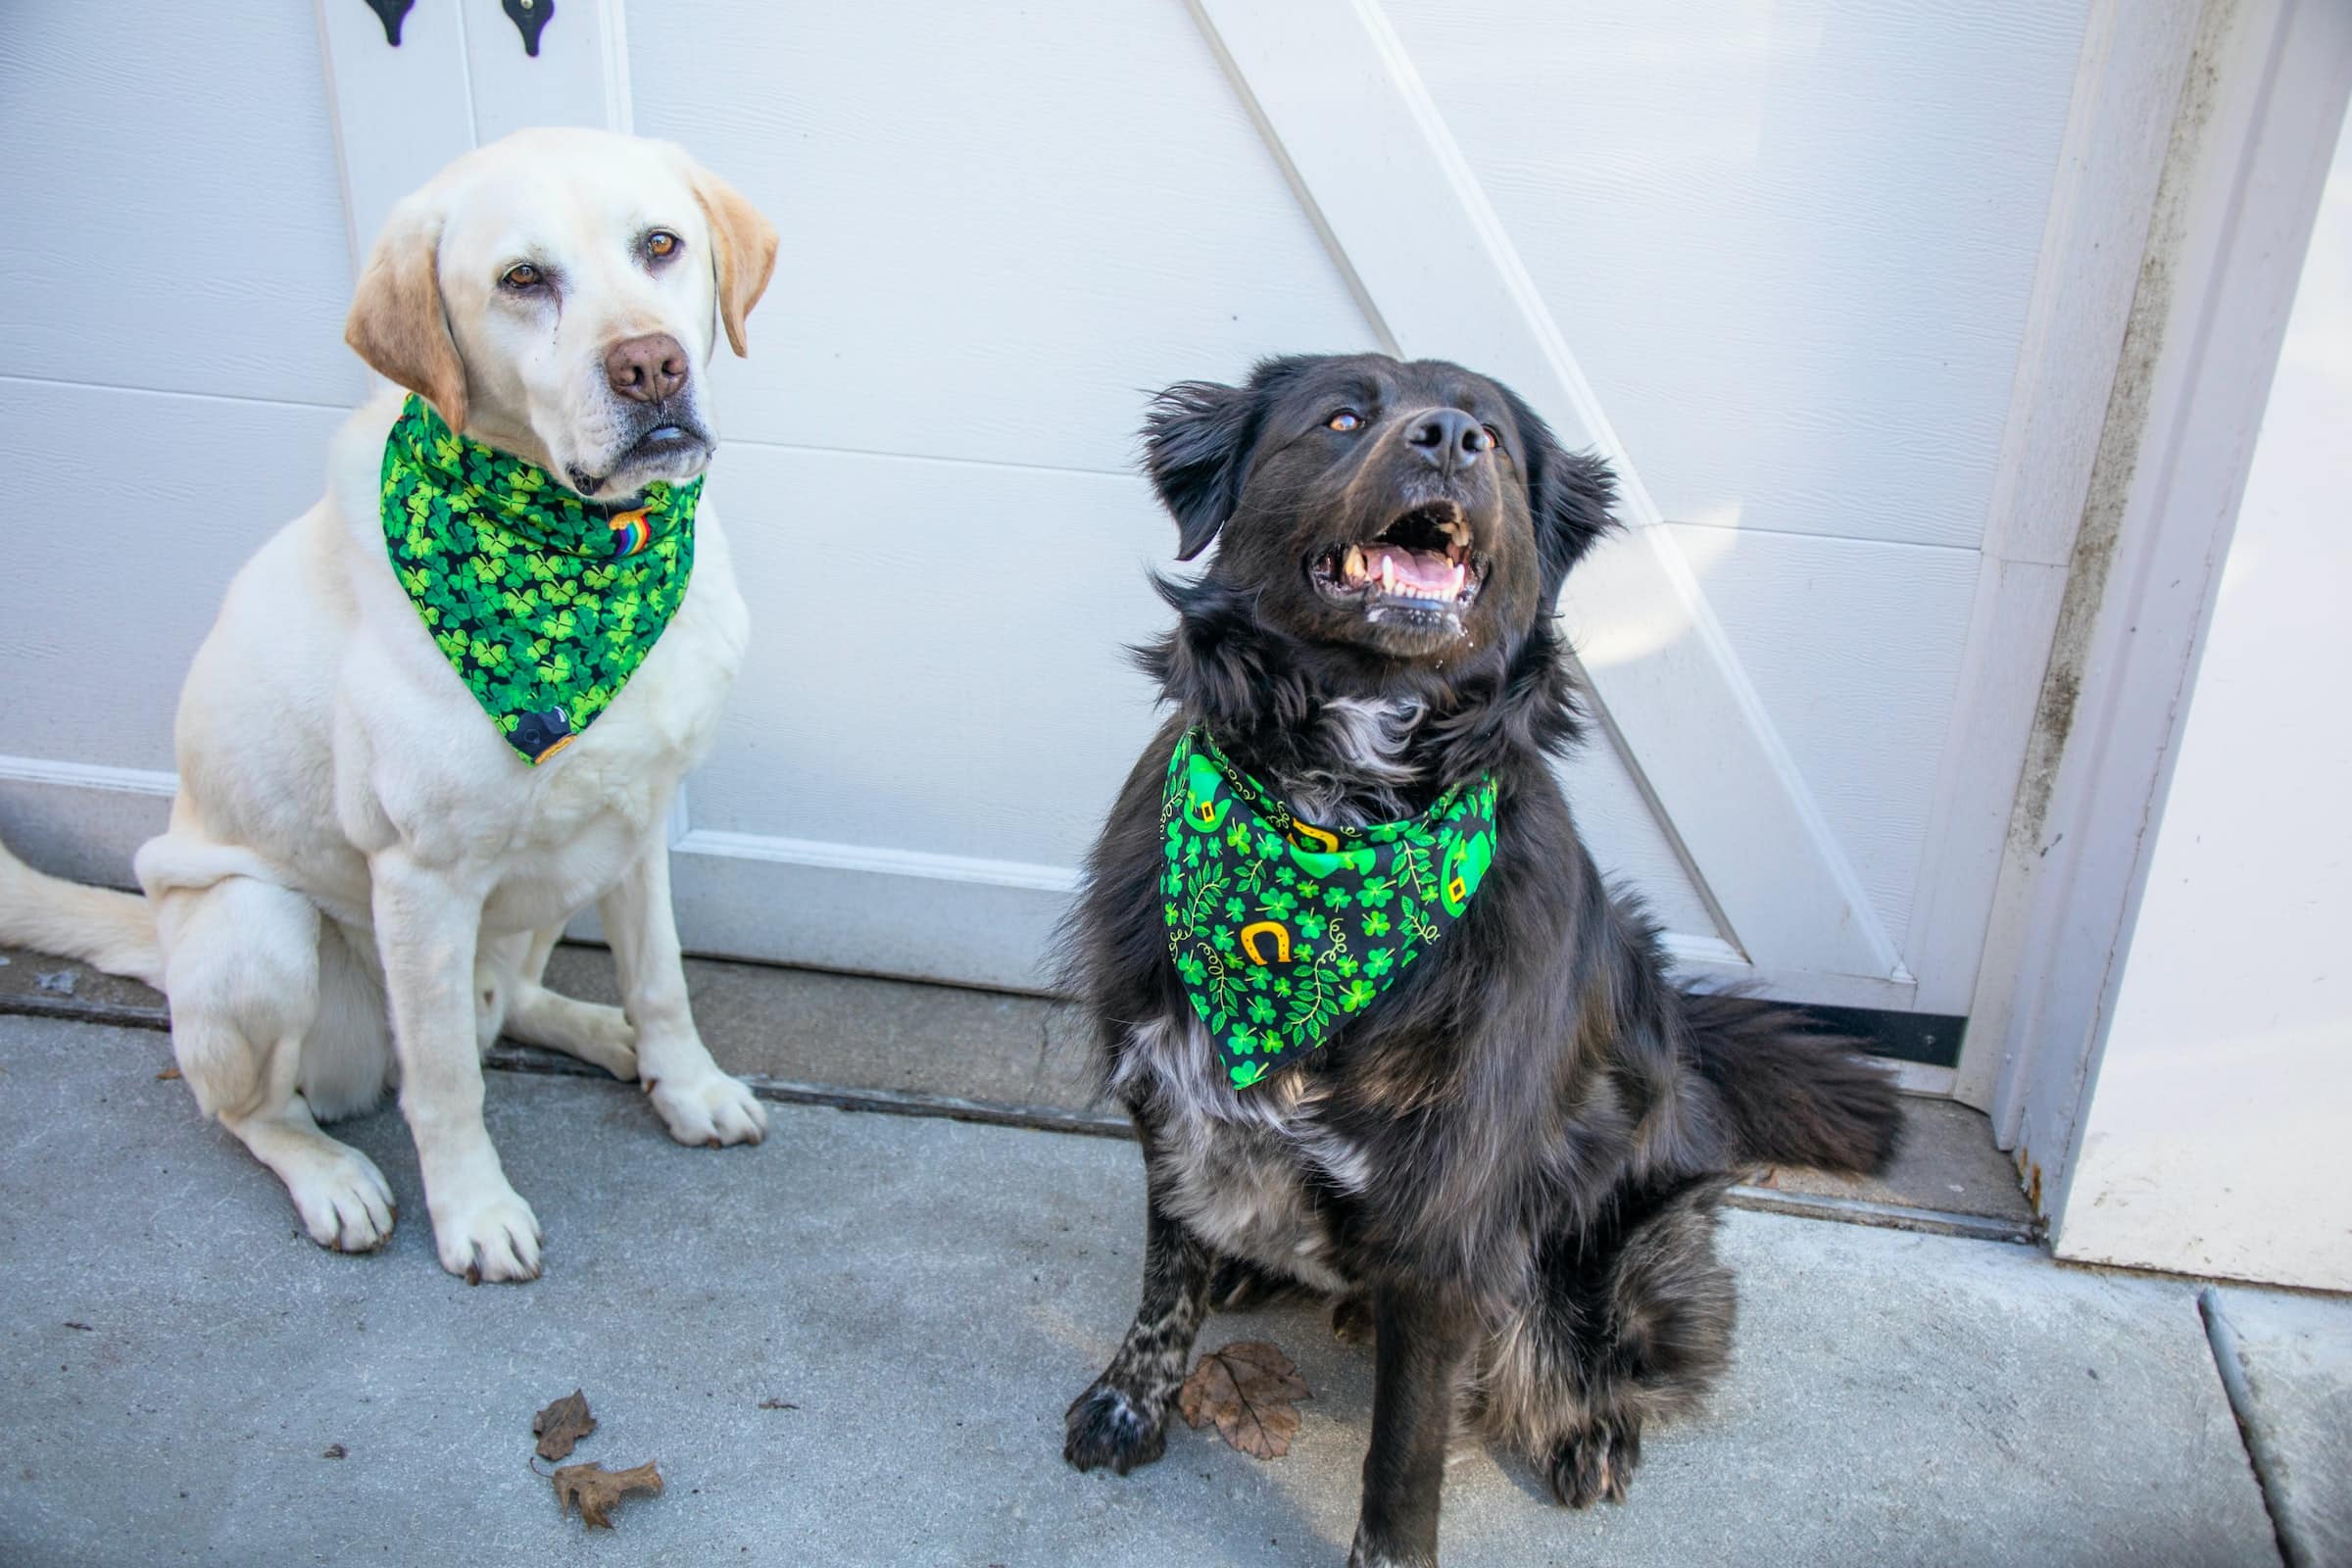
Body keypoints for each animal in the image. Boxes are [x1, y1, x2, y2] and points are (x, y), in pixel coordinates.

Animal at [1058, 355, 1900, 1568]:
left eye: (1494, 438)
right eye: (1342, 417)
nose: (1449, 437)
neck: (1332, 812)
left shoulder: (1447, 1224)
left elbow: (1405, 1449)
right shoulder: (1172, 1103)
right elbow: (1163, 1279)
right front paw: (1132, 1400)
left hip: (1625, 1247)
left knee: (1588, 1348)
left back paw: (1590, 1426)